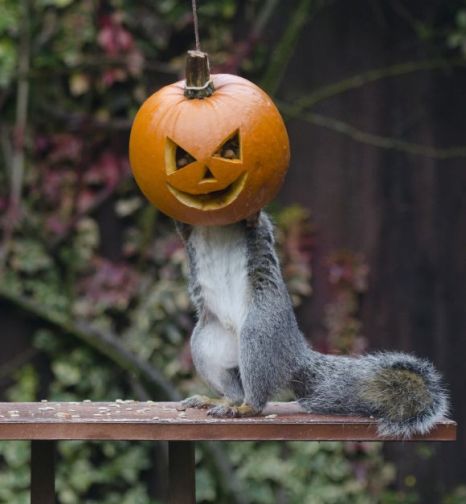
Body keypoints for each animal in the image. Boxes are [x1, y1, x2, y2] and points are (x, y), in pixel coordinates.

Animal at [176, 212, 448, 438]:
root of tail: (293, 354)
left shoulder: (260, 233)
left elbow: (258, 225)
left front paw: (249, 217)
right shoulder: (189, 234)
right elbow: (184, 229)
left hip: (258, 334)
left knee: (256, 399)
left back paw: (243, 409)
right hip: (206, 343)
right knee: (235, 392)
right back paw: (219, 402)